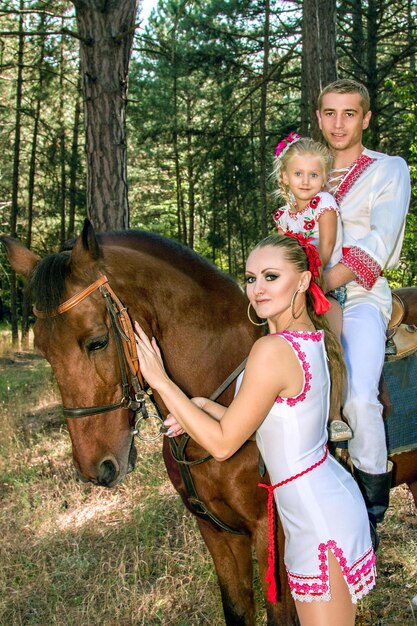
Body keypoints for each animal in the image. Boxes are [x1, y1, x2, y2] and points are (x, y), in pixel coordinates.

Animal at [2, 219, 416, 624]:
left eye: (97, 341)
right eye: (43, 349)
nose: (96, 468)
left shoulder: (272, 533)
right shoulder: (215, 530)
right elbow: (237, 608)